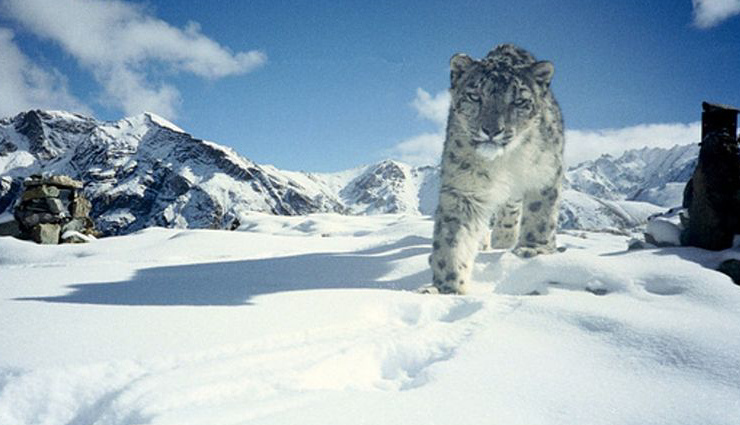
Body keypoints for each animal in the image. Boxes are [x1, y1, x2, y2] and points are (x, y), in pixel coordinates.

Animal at [427, 44, 564, 295]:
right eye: (475, 96)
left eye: (519, 101)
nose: (492, 130)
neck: (505, 161)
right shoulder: (463, 188)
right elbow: (452, 237)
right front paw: (447, 287)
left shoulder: (545, 173)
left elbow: (540, 215)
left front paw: (534, 249)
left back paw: (505, 238)